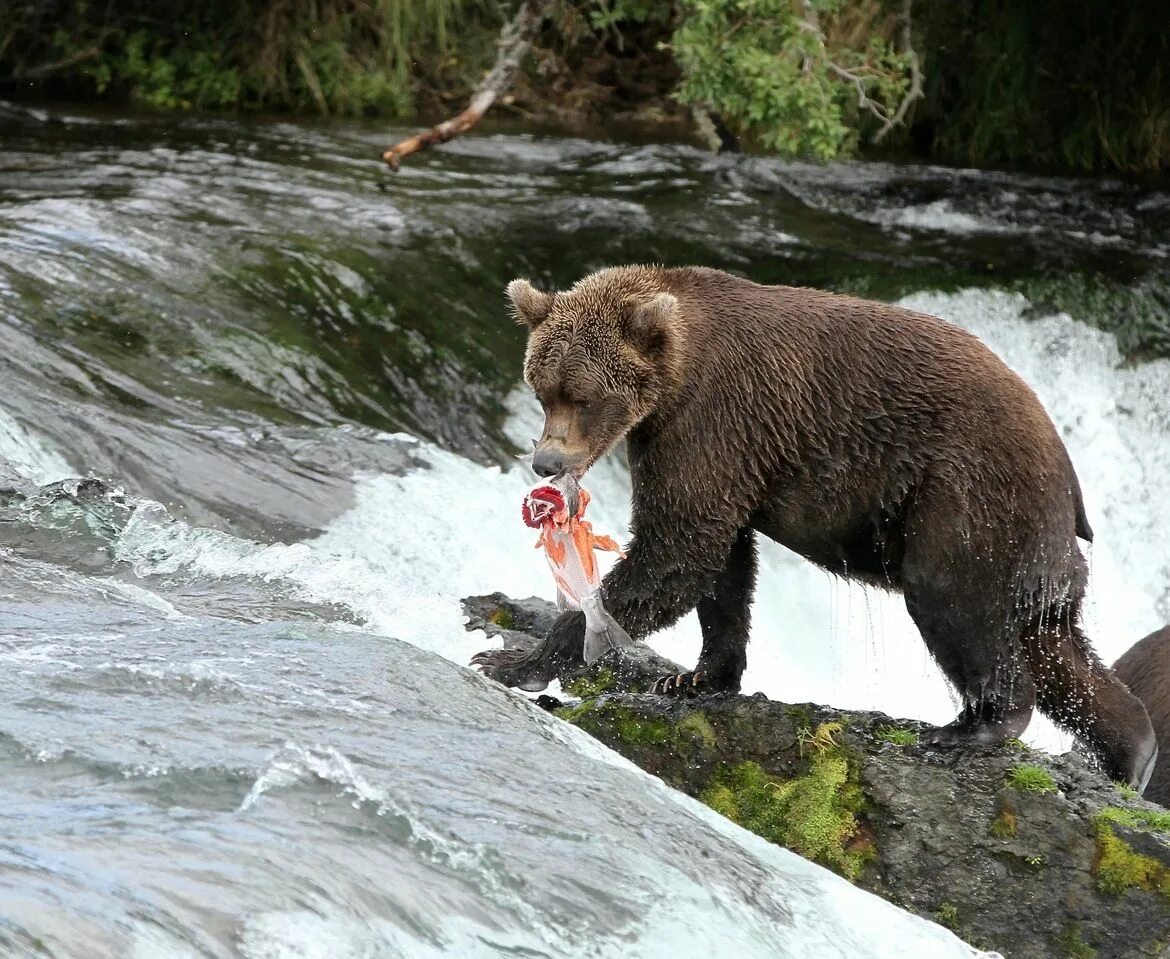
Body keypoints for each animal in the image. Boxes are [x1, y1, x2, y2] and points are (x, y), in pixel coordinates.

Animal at [470, 261, 1155, 785]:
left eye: (584, 397)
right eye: (542, 389)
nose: (546, 461)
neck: (675, 375)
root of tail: (1067, 474)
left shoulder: (711, 422)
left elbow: (679, 551)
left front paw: (514, 661)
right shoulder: (704, 447)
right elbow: (721, 565)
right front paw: (694, 677)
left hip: (966, 488)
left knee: (952, 596)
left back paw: (975, 726)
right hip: (1027, 540)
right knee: (1052, 640)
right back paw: (1130, 751)